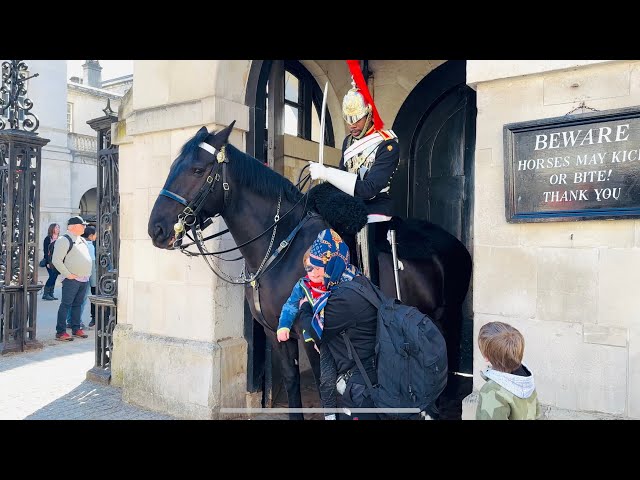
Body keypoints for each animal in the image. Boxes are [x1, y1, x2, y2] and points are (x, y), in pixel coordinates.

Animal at [148, 124, 472, 420]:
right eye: (173, 167)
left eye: (197, 170)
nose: (157, 230)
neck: (281, 247)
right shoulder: (276, 333)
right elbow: (293, 383)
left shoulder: (316, 337)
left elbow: (325, 387)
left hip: (449, 314)